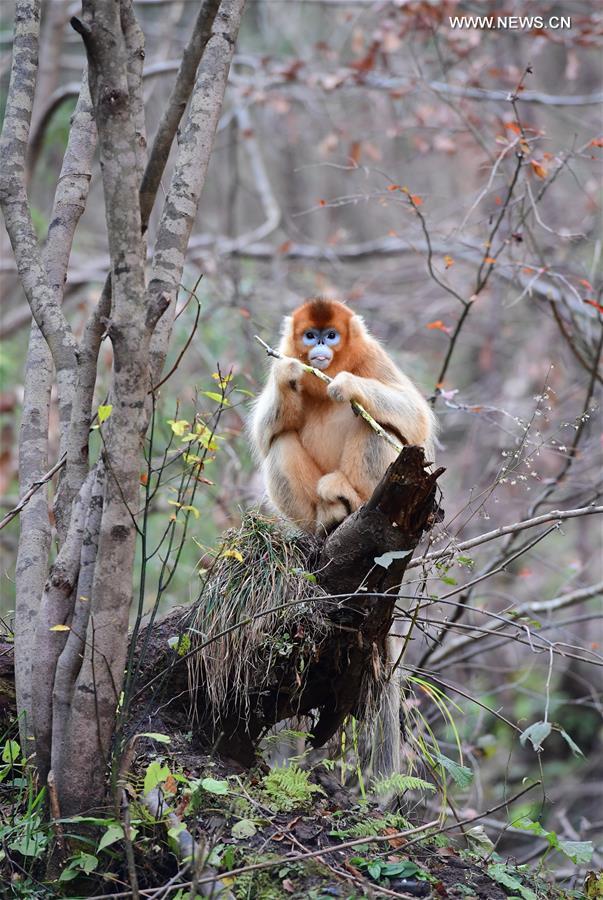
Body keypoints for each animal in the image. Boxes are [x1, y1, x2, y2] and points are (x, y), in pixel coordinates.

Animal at [251, 297, 436, 534]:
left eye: (331, 335)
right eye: (310, 335)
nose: (320, 343)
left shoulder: (371, 354)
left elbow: (417, 416)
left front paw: (347, 384)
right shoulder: (285, 353)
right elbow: (262, 433)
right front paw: (286, 374)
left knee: (377, 427)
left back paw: (353, 499)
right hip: (306, 519)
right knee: (280, 440)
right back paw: (326, 519)